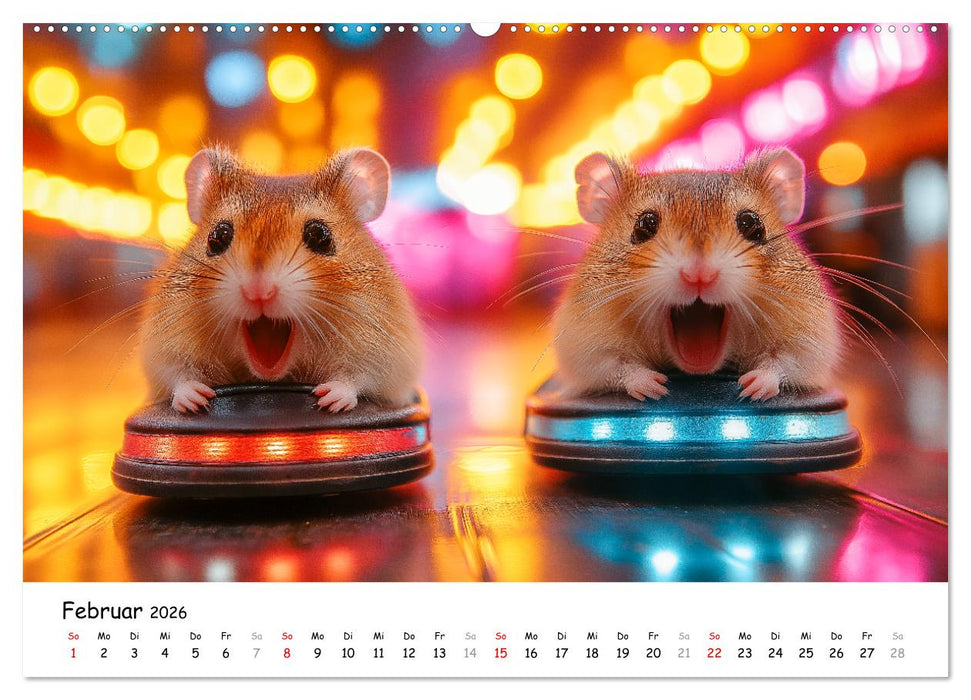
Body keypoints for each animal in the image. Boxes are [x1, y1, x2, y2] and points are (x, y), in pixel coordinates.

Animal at [140, 146, 422, 413]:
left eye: (321, 235)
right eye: (217, 236)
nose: (258, 292)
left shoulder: (384, 355)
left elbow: (356, 378)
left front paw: (329, 400)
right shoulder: (164, 347)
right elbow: (179, 376)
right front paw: (196, 401)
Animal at [552, 147, 840, 401]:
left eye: (752, 224)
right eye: (644, 225)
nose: (700, 275)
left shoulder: (810, 341)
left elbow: (782, 363)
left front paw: (749, 389)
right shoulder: (586, 348)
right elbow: (619, 367)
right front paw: (657, 389)